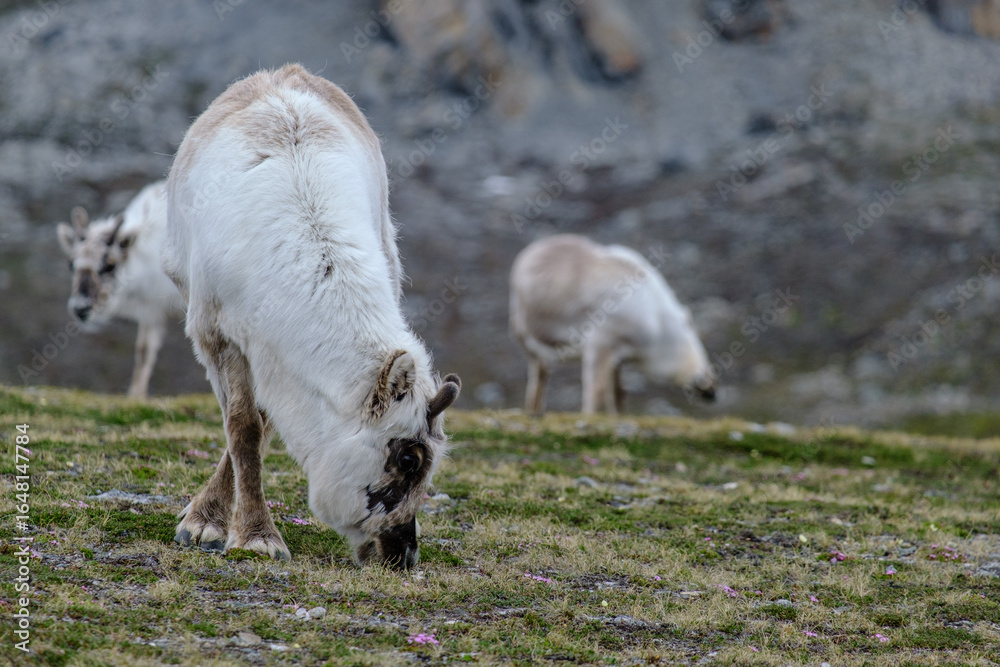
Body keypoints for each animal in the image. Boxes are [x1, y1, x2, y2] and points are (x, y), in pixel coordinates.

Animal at [56, 181, 183, 398]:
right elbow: (144, 352)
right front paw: (136, 397)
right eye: (71, 264)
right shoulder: (153, 311)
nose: (81, 308)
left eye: (110, 265)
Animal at [163, 64, 460, 568]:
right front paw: (248, 534)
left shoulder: (275, 356)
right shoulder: (219, 335)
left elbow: (259, 423)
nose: (404, 555)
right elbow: (242, 429)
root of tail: (283, 72)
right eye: (408, 459)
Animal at [510, 234, 715, 415]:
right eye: (695, 339)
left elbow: (618, 393)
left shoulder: (618, 357)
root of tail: (530, 252)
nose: (711, 389)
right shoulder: (600, 346)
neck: (657, 324)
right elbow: (597, 392)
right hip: (525, 334)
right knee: (539, 372)